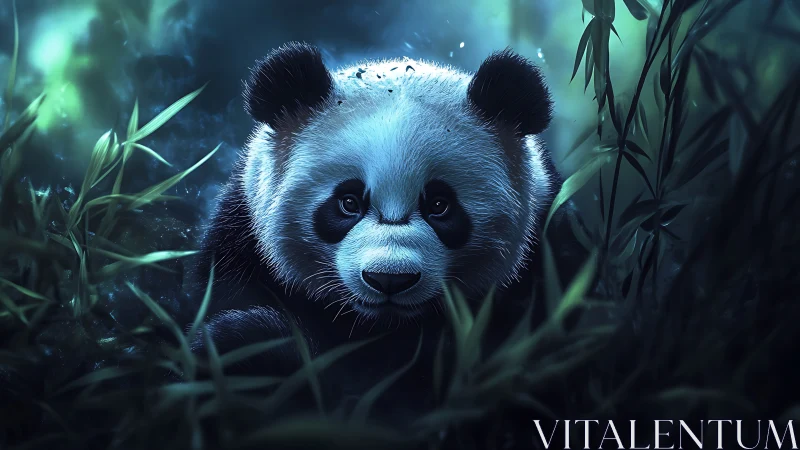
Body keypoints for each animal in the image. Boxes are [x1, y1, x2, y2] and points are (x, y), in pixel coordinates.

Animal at [187, 42, 587, 419]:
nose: (389, 279)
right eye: (348, 202)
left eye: (439, 205)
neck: (381, 327)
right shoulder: (241, 249)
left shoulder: (544, 254)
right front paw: (246, 345)